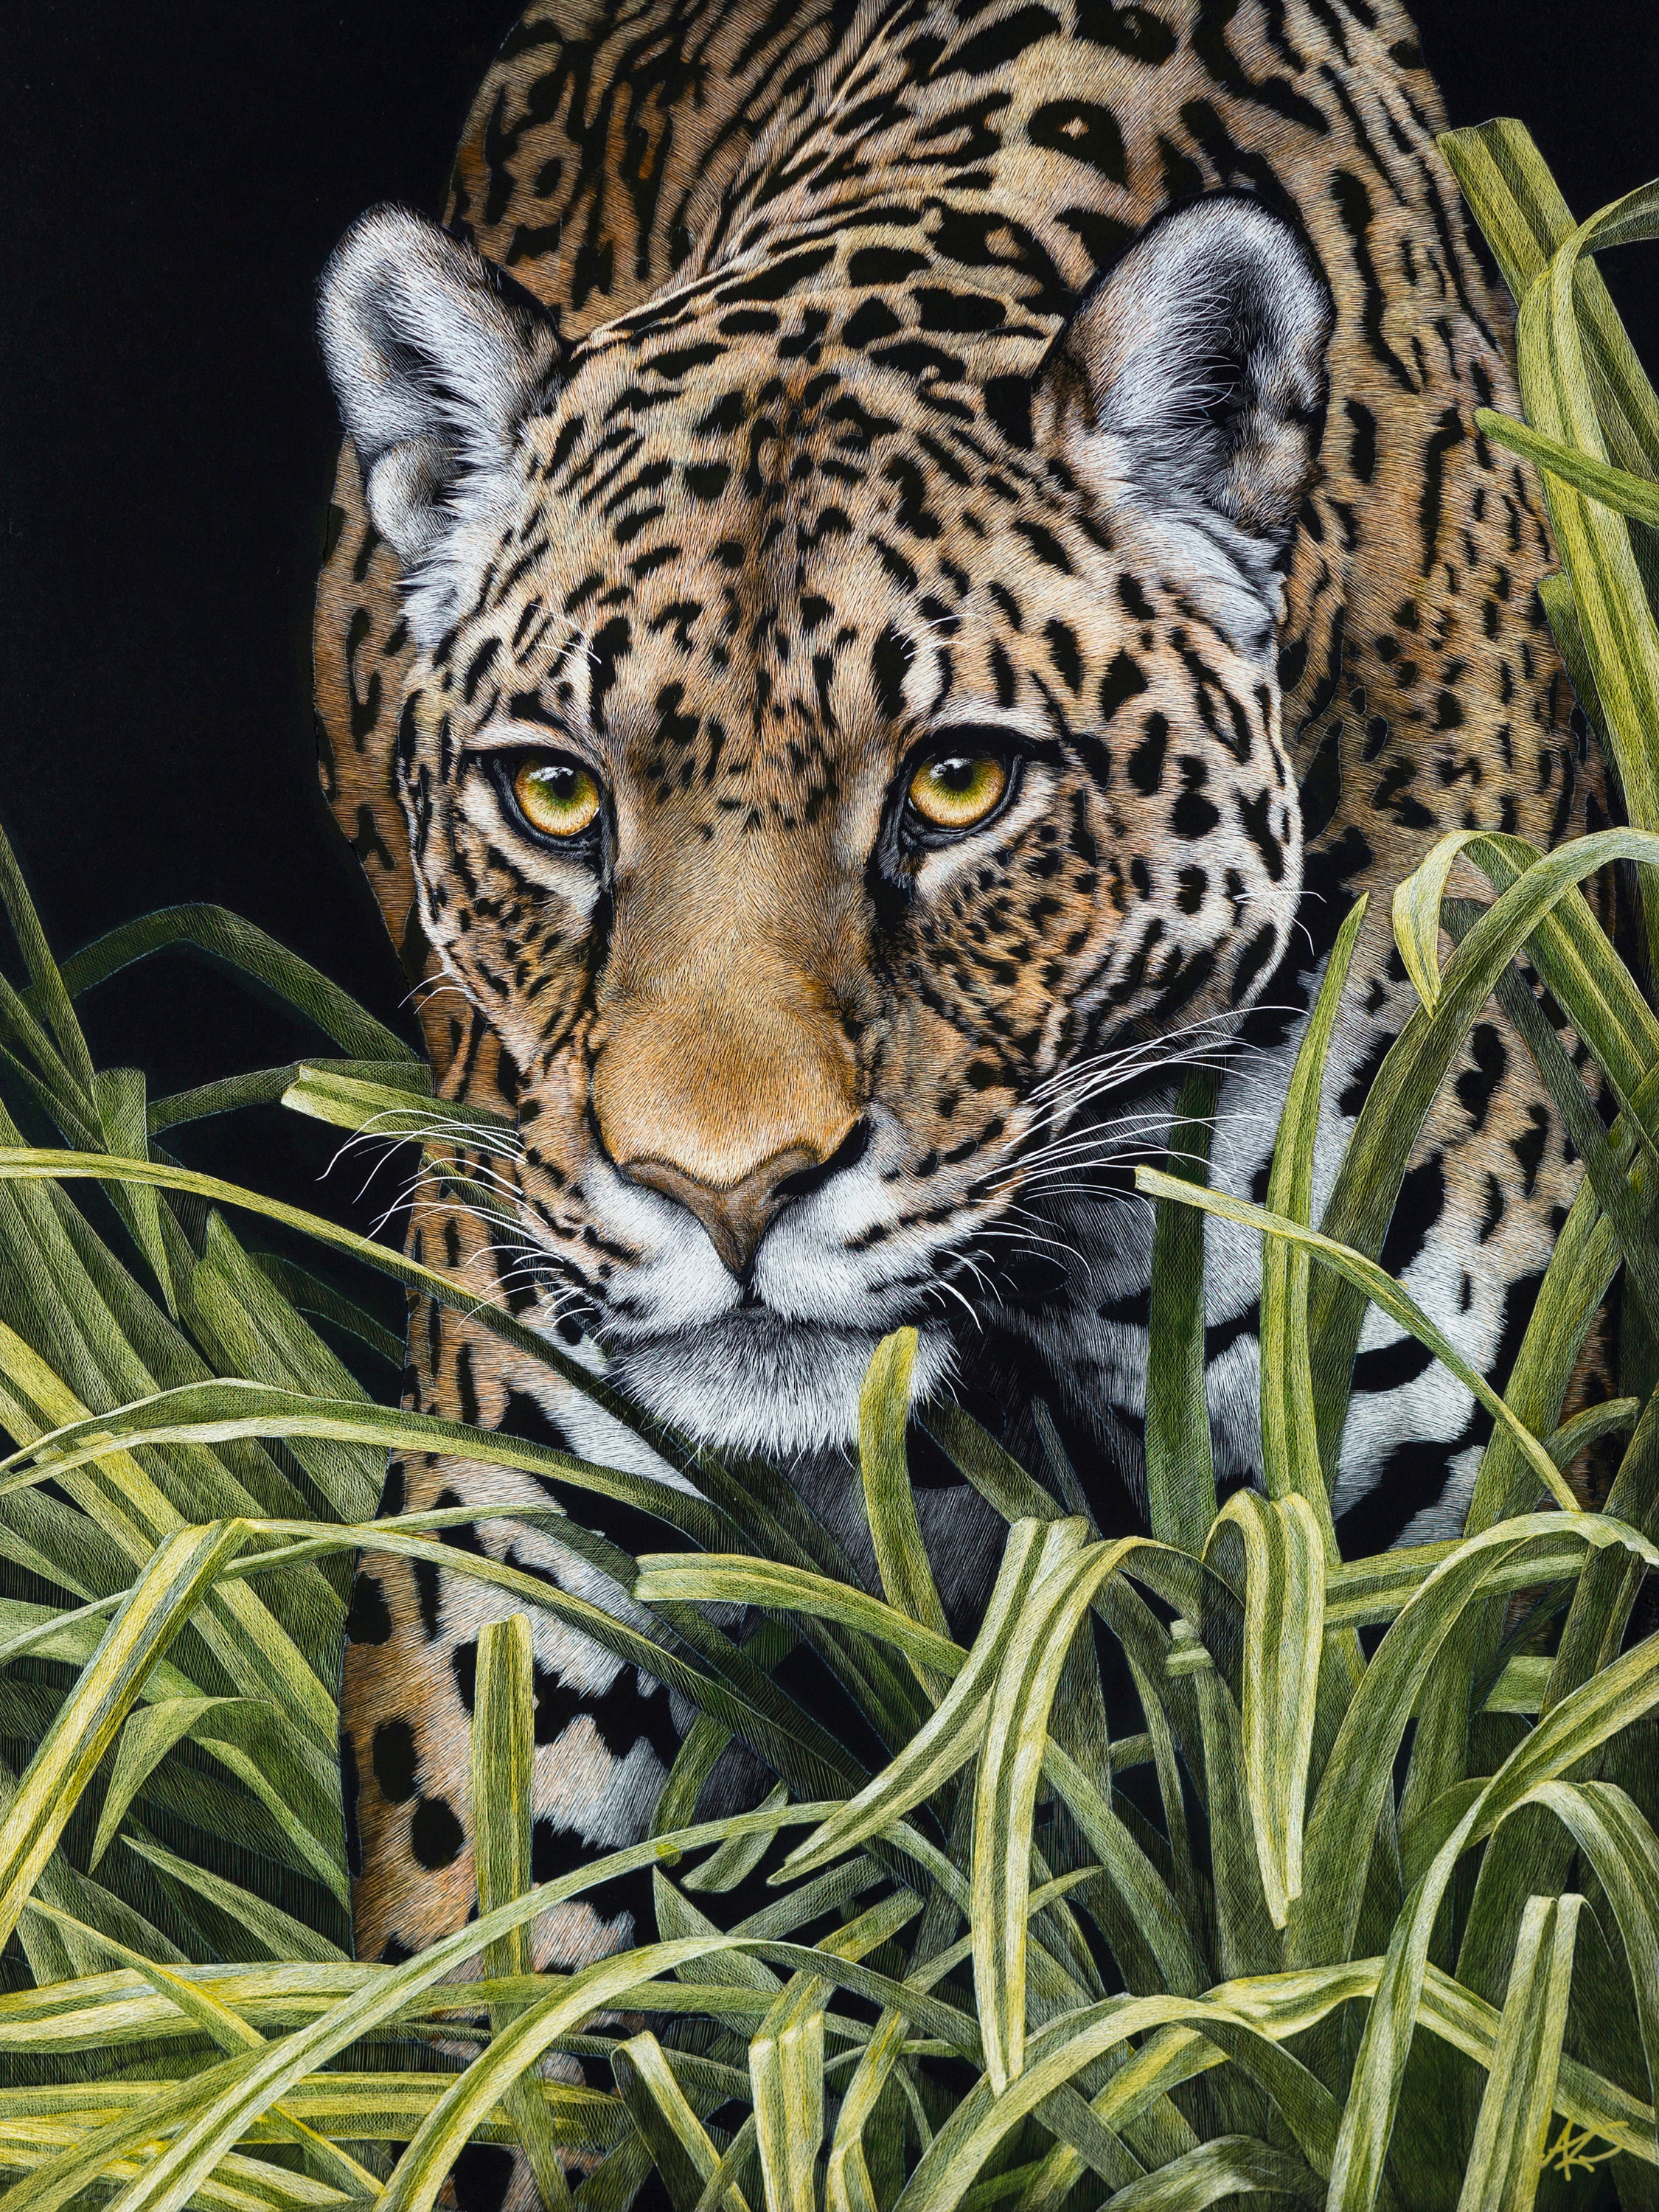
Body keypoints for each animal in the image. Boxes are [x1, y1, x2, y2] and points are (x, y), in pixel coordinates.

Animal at [313, 0, 1611, 2058]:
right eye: (554, 795)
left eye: (957, 782)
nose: (723, 1188)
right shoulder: (507, 1545)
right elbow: (490, 1971)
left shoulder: (1475, 1552)